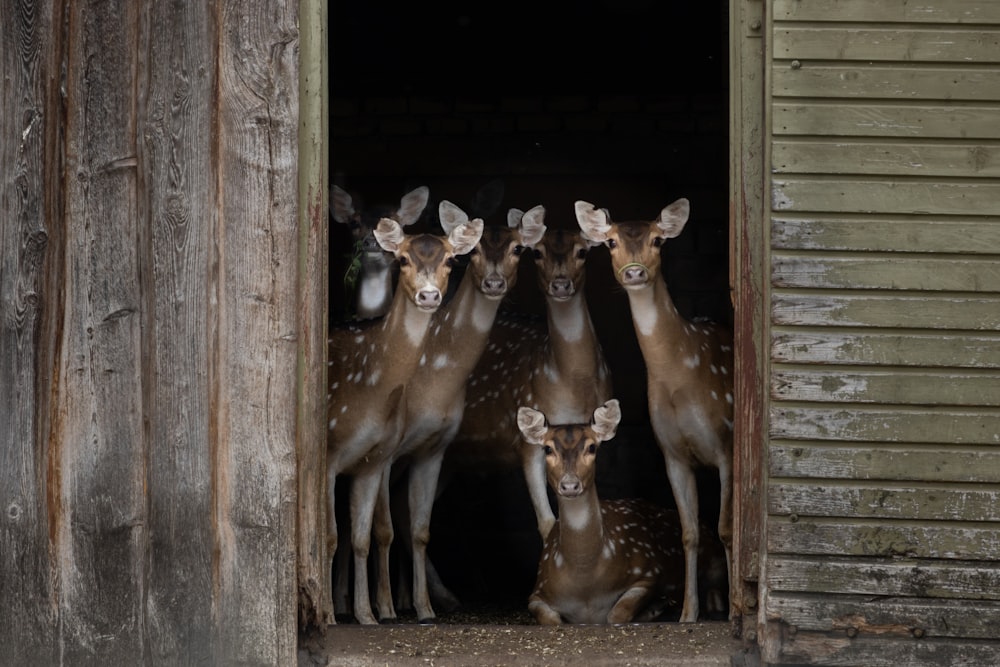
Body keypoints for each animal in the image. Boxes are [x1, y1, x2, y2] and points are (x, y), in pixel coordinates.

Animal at [328, 215, 484, 628]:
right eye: (402, 259)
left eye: (450, 260)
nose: (429, 296)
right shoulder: (328, 453)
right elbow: (331, 533)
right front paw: (333, 616)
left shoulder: (374, 459)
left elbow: (365, 536)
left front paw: (370, 614)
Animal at [370, 201, 544, 624]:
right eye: (474, 251)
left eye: (519, 248)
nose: (495, 284)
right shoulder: (383, 447)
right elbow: (382, 527)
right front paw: (385, 608)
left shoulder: (432, 445)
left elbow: (415, 524)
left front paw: (419, 606)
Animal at [448, 224, 616, 544]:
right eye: (536, 253)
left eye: (582, 252)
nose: (560, 285)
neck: (573, 385)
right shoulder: (527, 440)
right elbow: (547, 523)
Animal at [572, 198, 736, 628]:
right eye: (610, 242)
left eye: (658, 240)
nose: (634, 271)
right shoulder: (672, 452)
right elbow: (689, 532)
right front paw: (688, 614)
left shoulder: (727, 443)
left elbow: (727, 528)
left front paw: (736, 610)